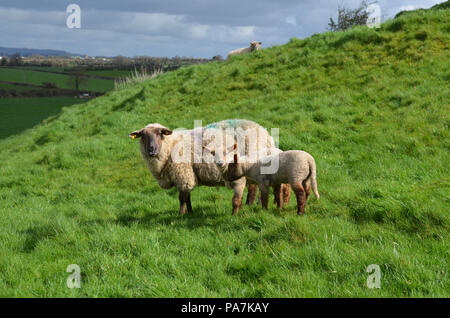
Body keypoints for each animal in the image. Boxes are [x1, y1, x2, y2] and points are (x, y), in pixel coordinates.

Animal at [127, 120, 278, 216]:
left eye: (160, 133)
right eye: (143, 136)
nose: (151, 150)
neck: (171, 147)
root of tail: (268, 136)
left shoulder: (183, 174)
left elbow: (181, 198)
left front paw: (180, 214)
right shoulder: (187, 175)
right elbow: (187, 197)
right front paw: (190, 212)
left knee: (252, 188)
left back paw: (249, 204)